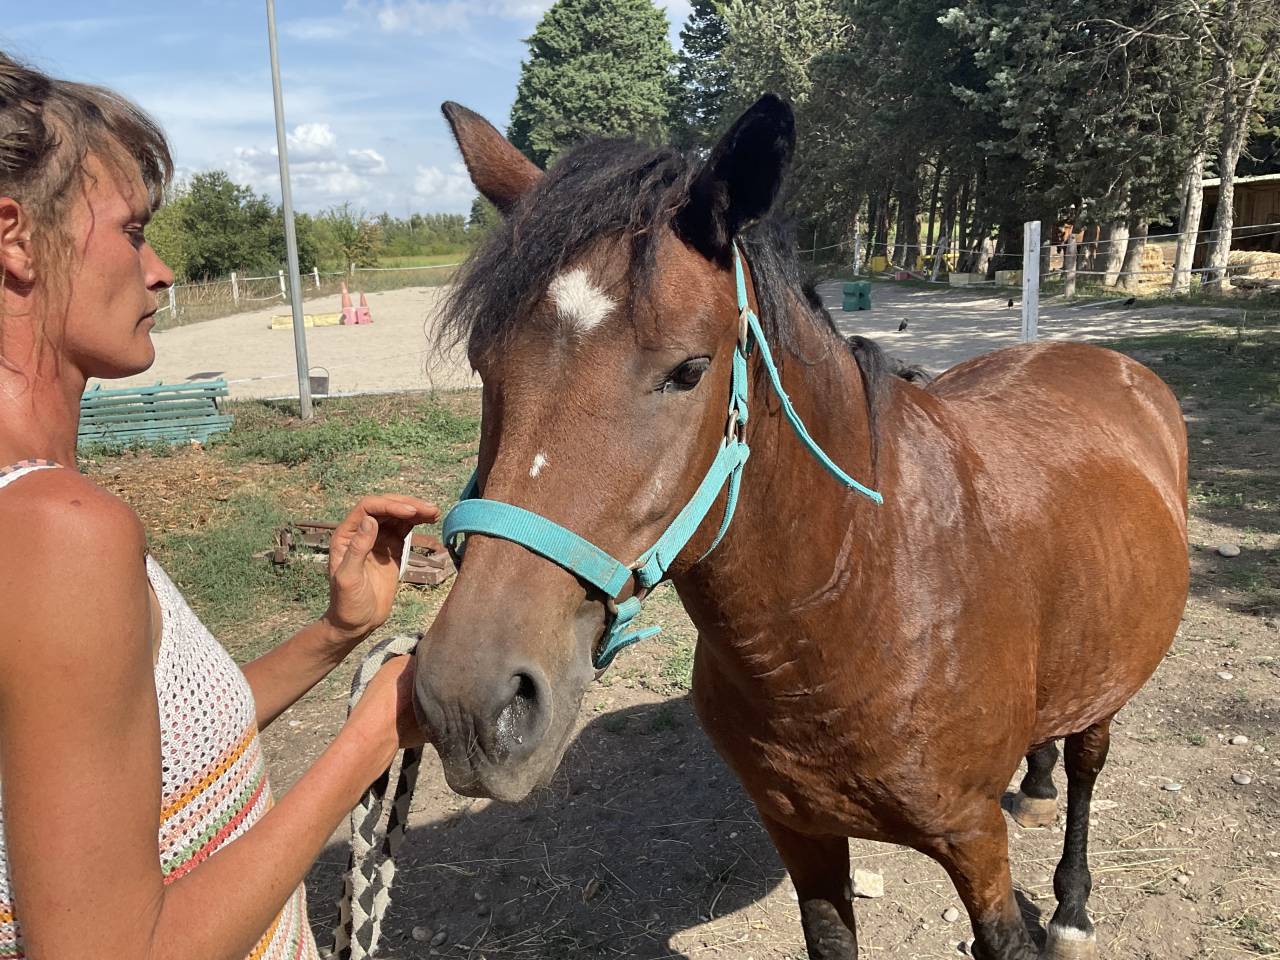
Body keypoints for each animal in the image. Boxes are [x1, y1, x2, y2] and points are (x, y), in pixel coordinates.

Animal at [410, 95, 1189, 960]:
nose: (471, 704)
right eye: (484, 363)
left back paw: (1073, 902)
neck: (859, 599)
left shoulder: (974, 841)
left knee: (1089, 761)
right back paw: (1039, 781)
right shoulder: (800, 831)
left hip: (1113, 679)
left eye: (689, 369)